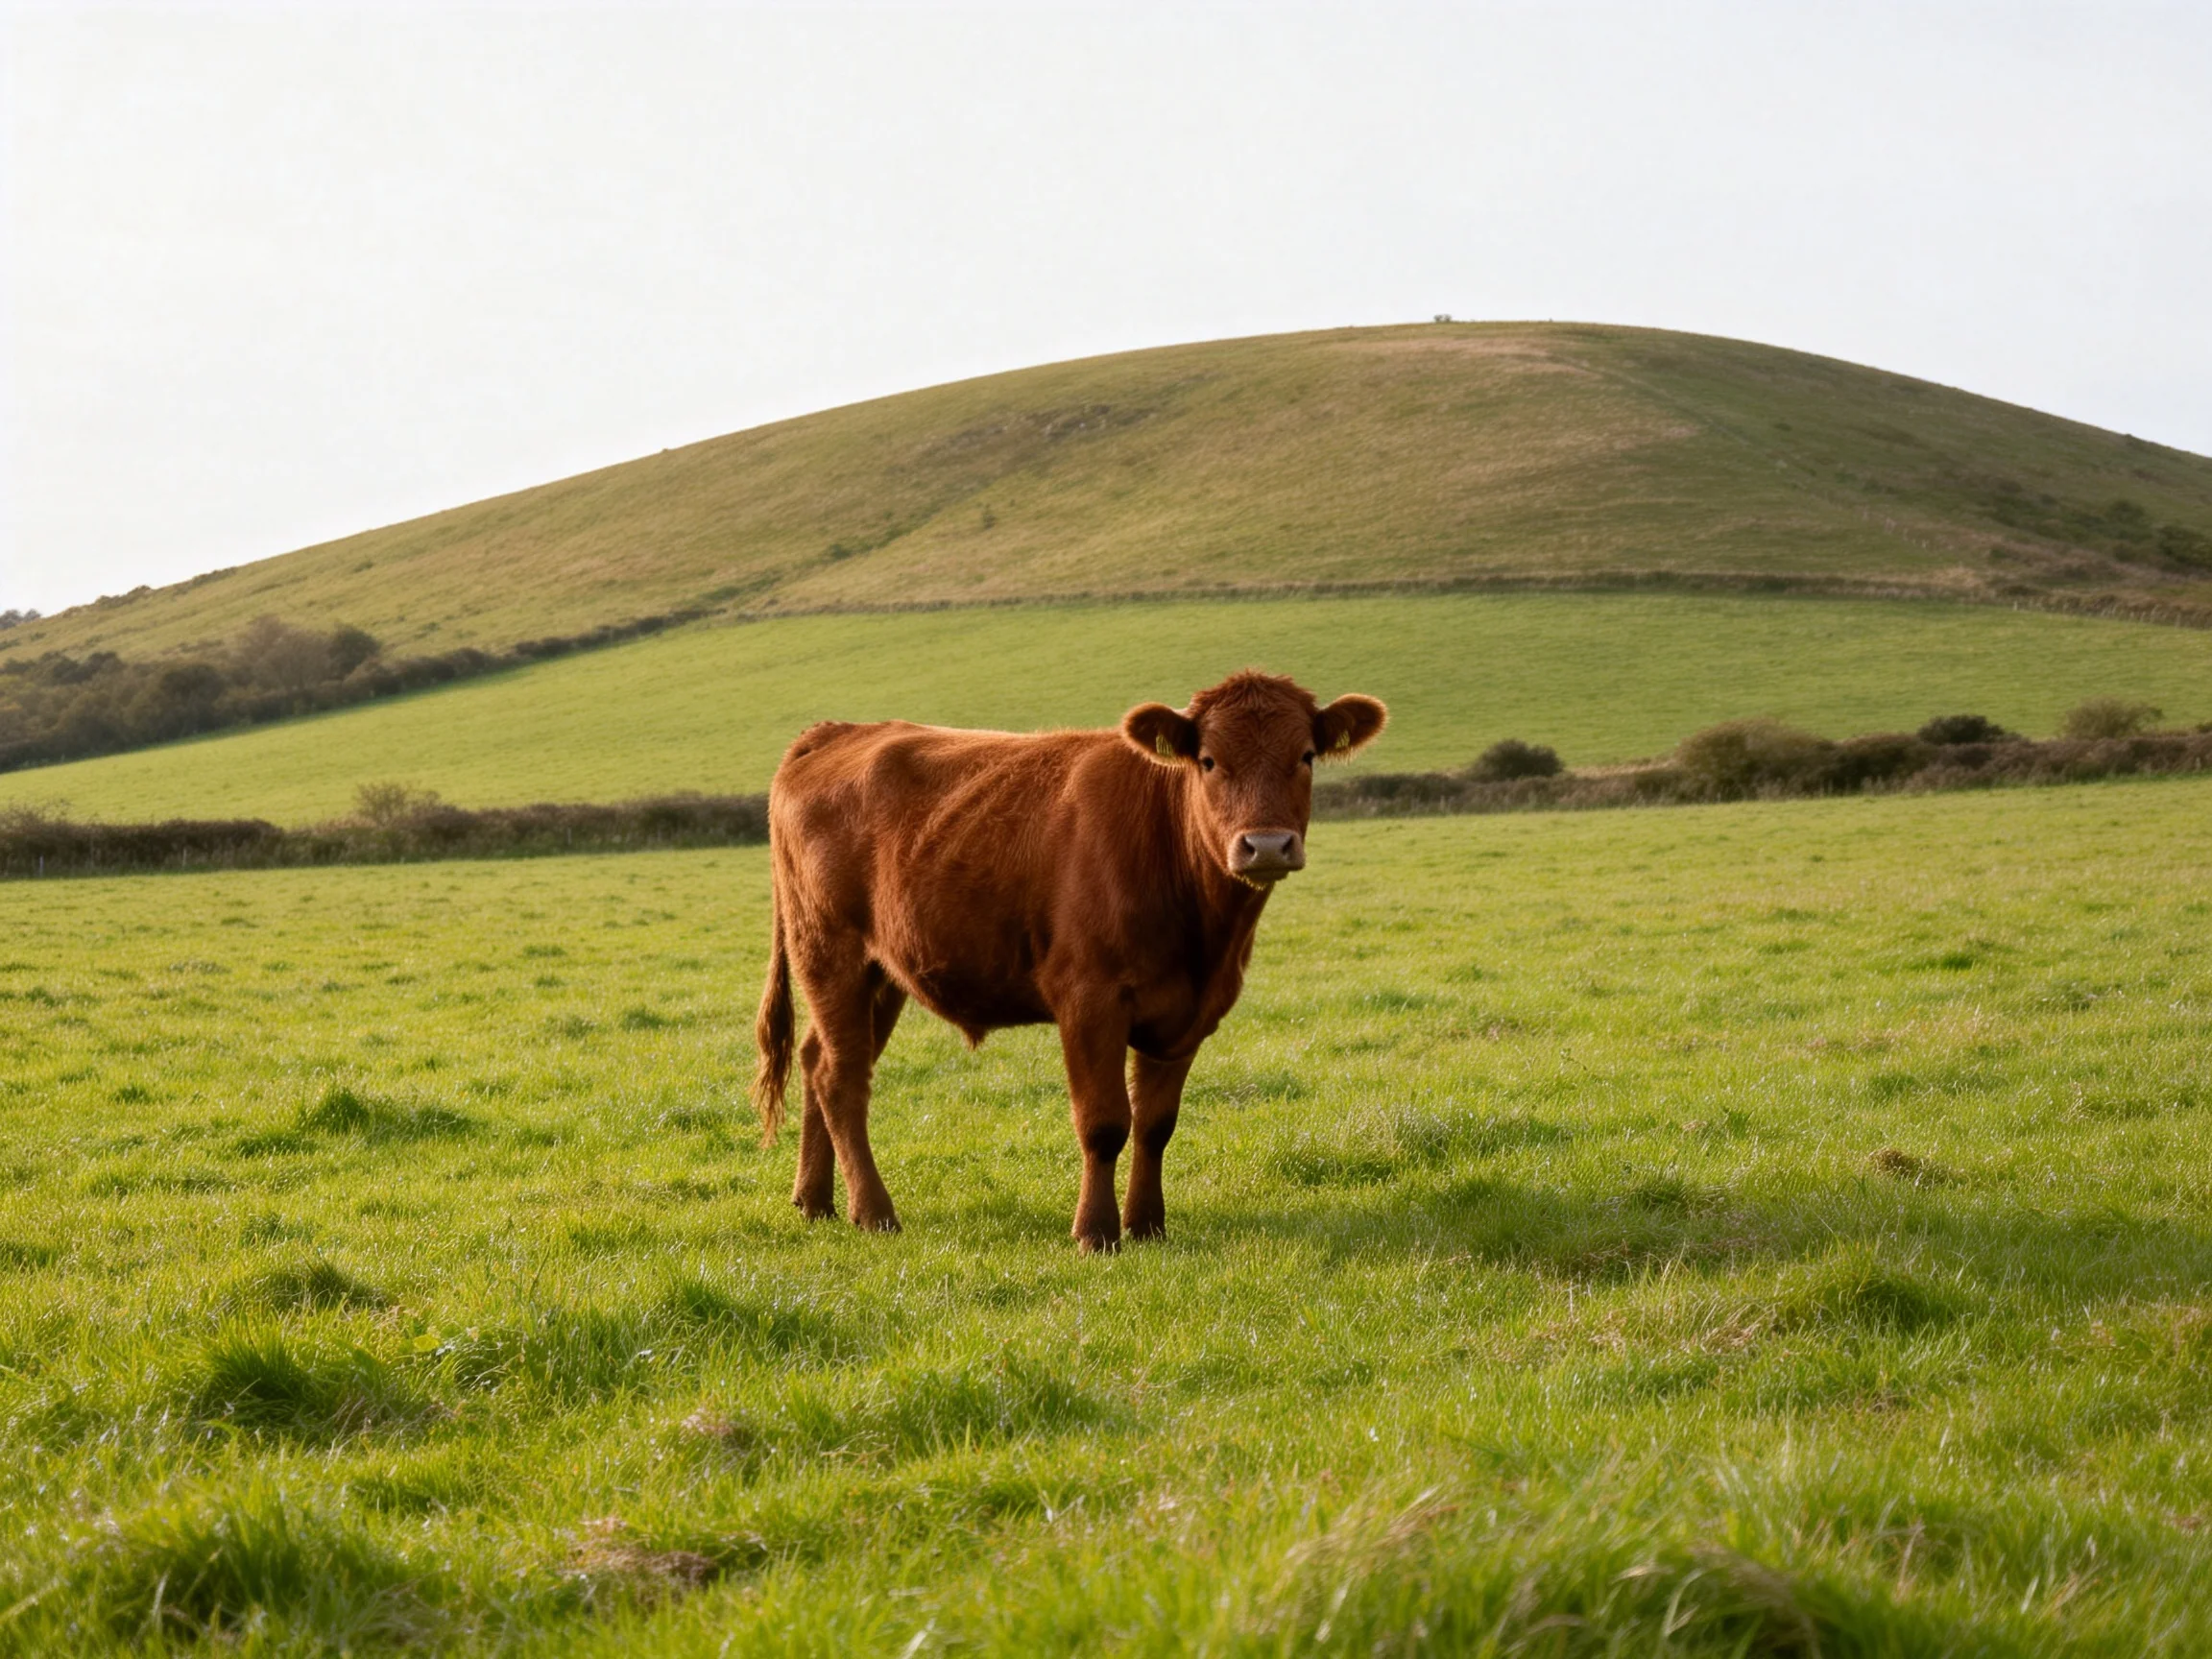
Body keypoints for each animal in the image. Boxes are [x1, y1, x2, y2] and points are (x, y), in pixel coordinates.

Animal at [749, 670, 1388, 1251]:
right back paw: (875, 1213)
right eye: (1208, 761)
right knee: (842, 1078)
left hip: (883, 975)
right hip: (830, 952)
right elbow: (1104, 1122)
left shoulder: (1189, 1011)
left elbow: (1156, 1124)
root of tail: (837, 731)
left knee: (817, 1060)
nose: (1267, 845)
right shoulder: (1088, 997)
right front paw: (1096, 1232)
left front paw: (1147, 1226)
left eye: (1306, 756)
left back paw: (816, 1202)